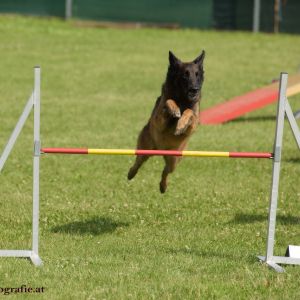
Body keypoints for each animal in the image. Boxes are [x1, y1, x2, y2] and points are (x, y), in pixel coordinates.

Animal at [127, 50, 205, 193]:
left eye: (197, 75)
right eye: (185, 75)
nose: (195, 89)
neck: (182, 99)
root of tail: (160, 150)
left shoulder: (193, 125)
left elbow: (189, 112)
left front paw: (180, 124)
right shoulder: (159, 121)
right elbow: (169, 101)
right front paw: (174, 110)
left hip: (173, 160)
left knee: (165, 171)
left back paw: (163, 186)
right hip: (144, 150)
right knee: (138, 163)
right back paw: (131, 173)